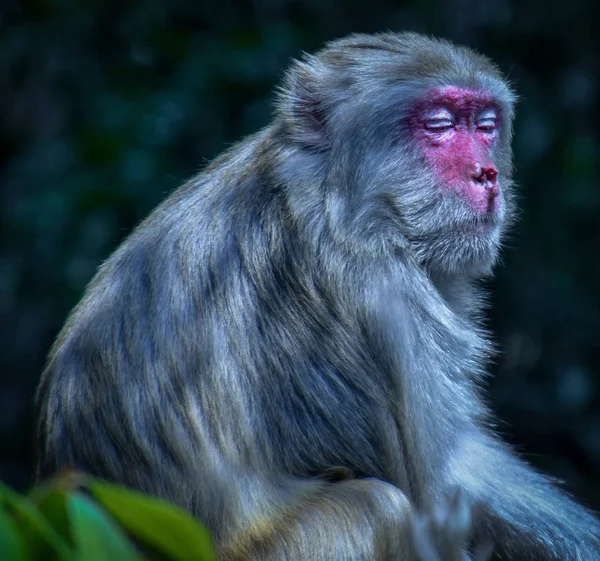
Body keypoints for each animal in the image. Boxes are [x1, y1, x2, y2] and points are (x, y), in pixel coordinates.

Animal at [36, 32, 600, 556]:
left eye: (485, 125)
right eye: (439, 125)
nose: (488, 175)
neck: (333, 196)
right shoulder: (380, 292)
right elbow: (435, 497)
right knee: (378, 508)